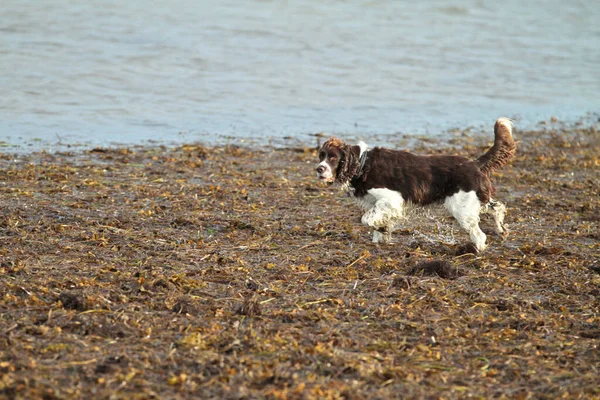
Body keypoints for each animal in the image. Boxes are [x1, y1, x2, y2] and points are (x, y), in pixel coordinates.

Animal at [316, 117, 516, 252]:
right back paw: (501, 230)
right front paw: (382, 235)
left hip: (461, 207)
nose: (319, 169)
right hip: (473, 199)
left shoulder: (391, 199)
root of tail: (474, 163)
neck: (362, 164)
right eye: (321, 155)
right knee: (497, 207)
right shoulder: (378, 204)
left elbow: (367, 219)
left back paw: (476, 249)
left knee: (479, 234)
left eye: (333, 157)